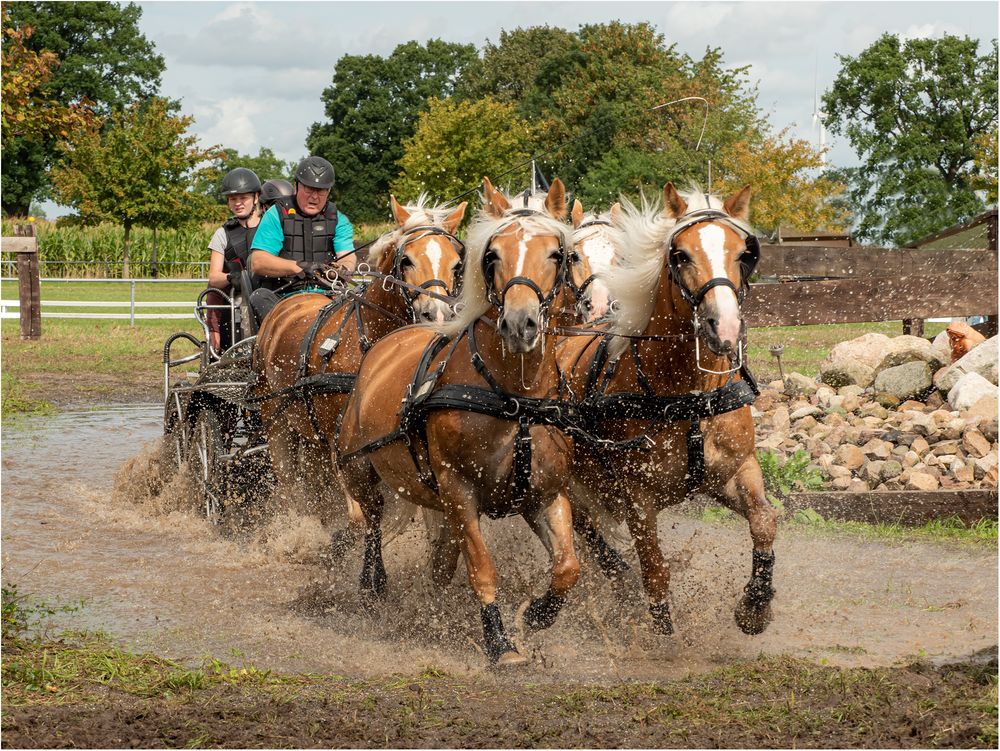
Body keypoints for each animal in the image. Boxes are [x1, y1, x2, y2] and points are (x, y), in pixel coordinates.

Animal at [250, 194, 468, 536]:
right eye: (406, 260)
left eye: (457, 263)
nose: (437, 313)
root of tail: (286, 305)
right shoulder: (341, 442)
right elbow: (357, 515)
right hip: (276, 420)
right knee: (289, 485)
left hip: (309, 430)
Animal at [340, 179, 584, 668]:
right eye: (492, 255)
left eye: (558, 254)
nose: (520, 324)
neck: (514, 399)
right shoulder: (459, 490)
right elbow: (482, 567)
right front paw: (500, 642)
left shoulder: (545, 493)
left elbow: (568, 567)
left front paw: (538, 614)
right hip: (361, 469)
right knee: (371, 525)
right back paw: (373, 584)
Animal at [560, 182, 776, 636]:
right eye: (681, 255)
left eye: (744, 254)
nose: (725, 327)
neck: (689, 396)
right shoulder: (638, 497)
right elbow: (656, 571)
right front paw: (663, 637)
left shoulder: (736, 468)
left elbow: (765, 520)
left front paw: (754, 606)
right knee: (585, 532)